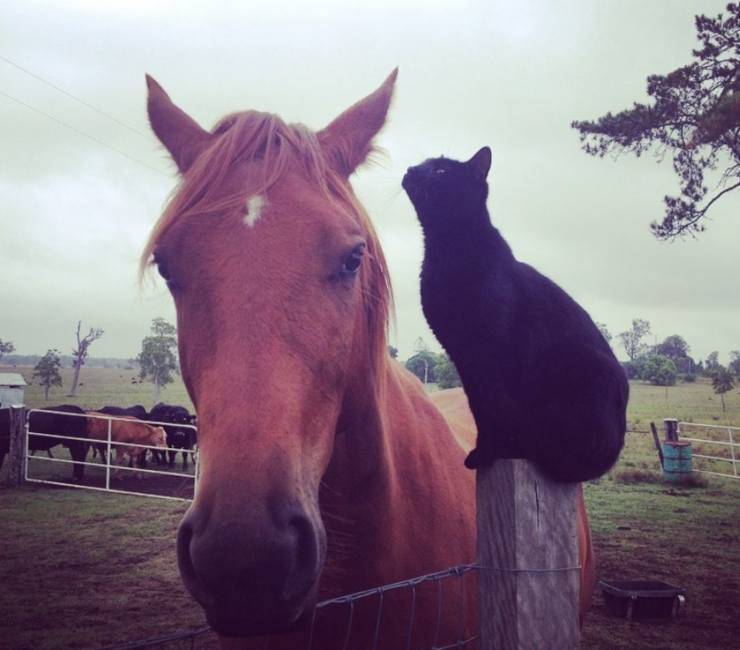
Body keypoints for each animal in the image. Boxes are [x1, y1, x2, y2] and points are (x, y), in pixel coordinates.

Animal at [402, 147, 628, 480]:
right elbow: (480, 407)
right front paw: (485, 449)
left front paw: (493, 450)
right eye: (423, 164)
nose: (411, 169)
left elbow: (496, 405)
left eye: (441, 171)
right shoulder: (465, 357)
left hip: (580, 367)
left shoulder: (492, 352)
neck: (447, 249)